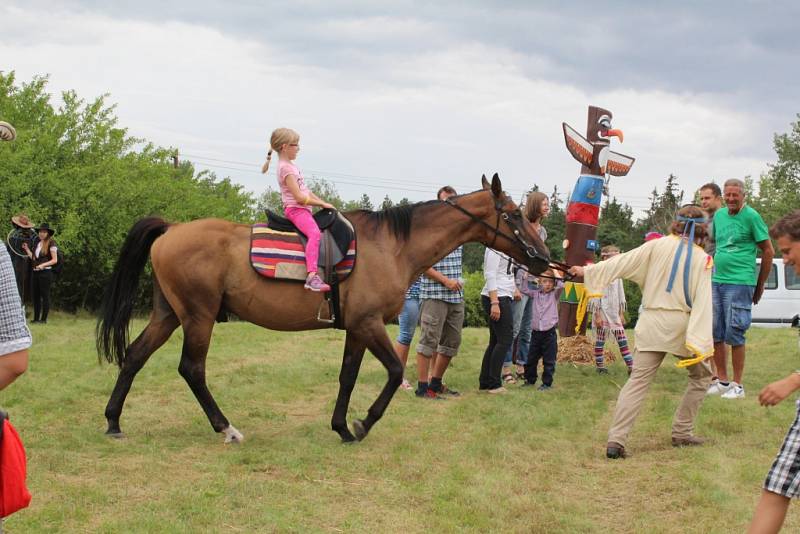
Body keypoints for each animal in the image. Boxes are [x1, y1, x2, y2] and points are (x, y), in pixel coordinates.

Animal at [97, 175, 552, 444]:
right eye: (513, 214)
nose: (544, 258)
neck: (391, 245)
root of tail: (172, 229)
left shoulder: (356, 327)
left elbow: (347, 376)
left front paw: (342, 427)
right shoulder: (370, 323)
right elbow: (395, 371)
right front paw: (363, 423)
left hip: (169, 315)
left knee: (134, 356)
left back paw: (114, 422)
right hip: (198, 317)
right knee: (192, 369)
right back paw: (225, 427)